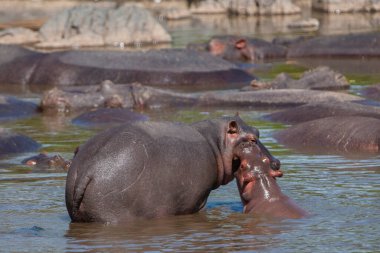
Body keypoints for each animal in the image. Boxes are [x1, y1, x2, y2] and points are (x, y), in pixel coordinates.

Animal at [64, 115, 280, 222]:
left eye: (258, 131)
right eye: (251, 139)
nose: (276, 162)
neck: (215, 142)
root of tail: (87, 169)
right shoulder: (198, 200)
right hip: (112, 214)